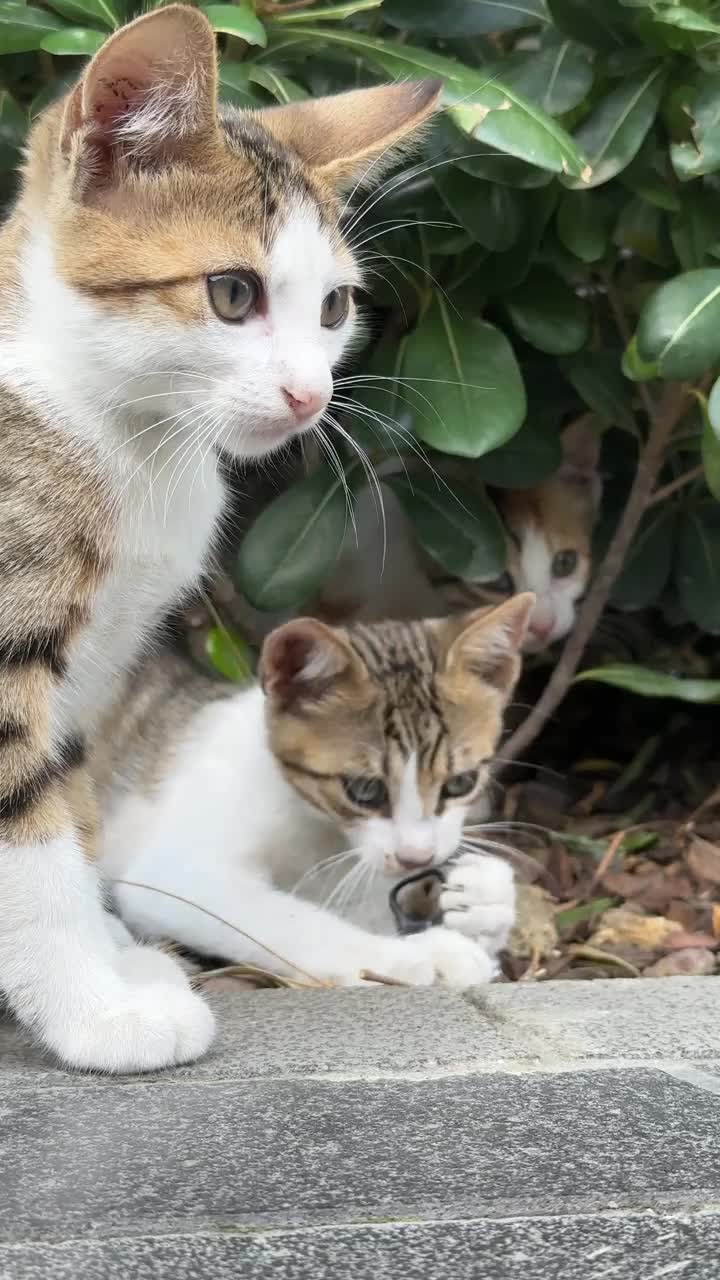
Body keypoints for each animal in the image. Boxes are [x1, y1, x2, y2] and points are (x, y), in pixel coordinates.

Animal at [0, 2, 440, 1070]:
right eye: (234, 293)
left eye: (334, 306)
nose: (311, 395)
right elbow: (27, 842)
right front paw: (95, 1011)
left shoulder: (93, 672)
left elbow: (75, 812)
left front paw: (115, 961)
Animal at [98, 599, 530, 988]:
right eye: (364, 789)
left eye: (461, 782)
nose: (417, 859)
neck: (313, 823)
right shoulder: (175, 873)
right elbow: (294, 924)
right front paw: (419, 955)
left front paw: (484, 901)